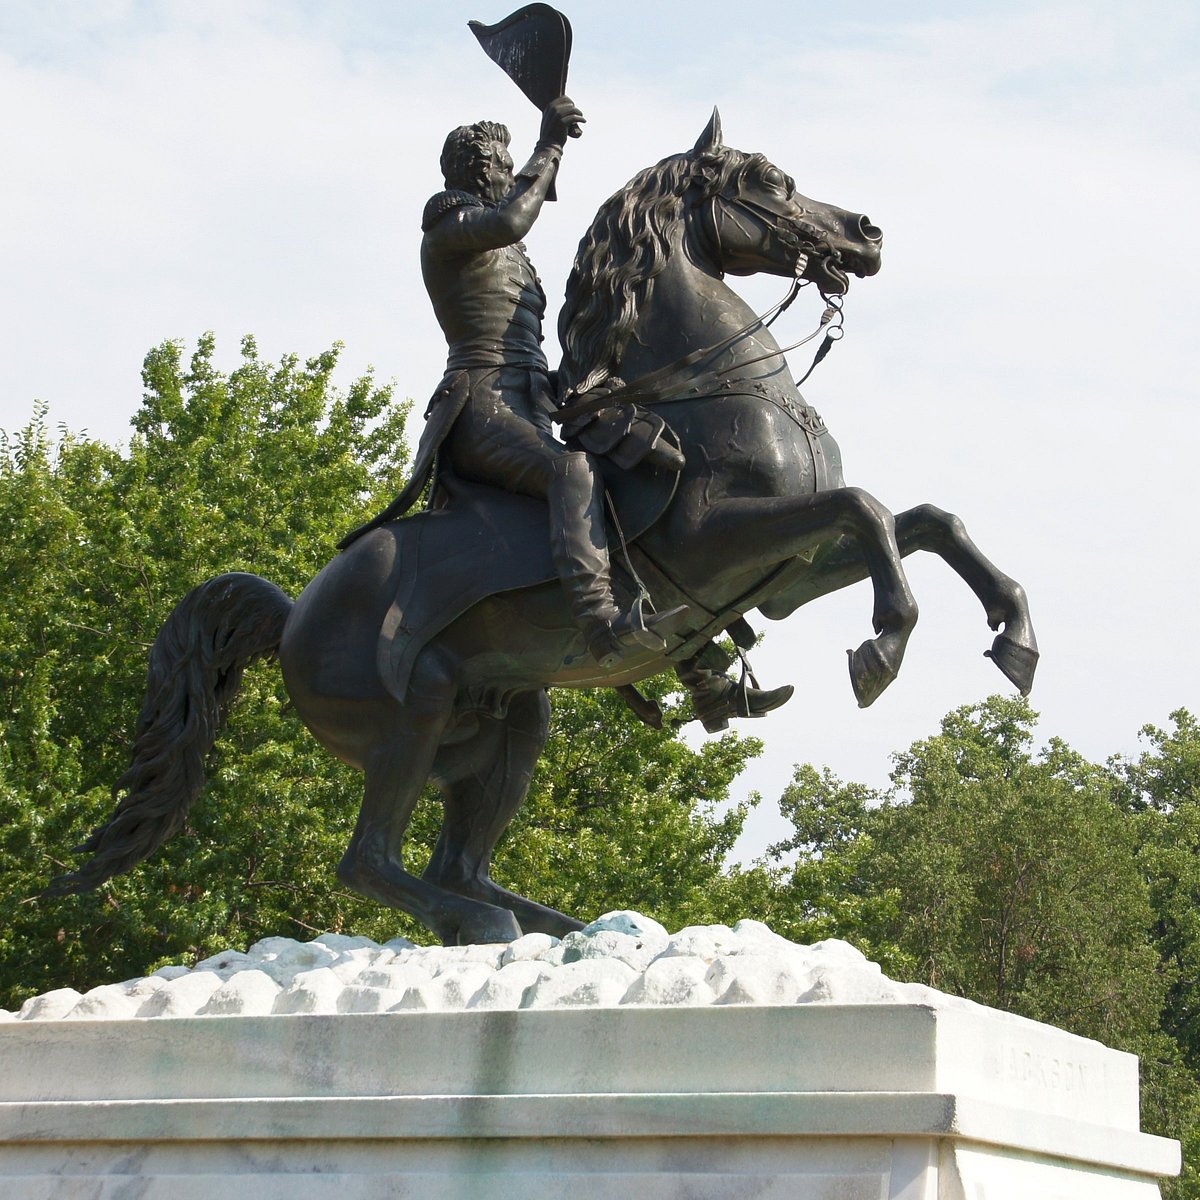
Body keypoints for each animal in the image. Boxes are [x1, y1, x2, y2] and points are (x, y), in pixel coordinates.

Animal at [51, 112, 1036, 945]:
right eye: (770, 180)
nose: (867, 233)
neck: (711, 392)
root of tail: (294, 613)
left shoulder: (786, 573)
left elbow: (925, 520)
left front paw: (1013, 637)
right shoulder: (718, 545)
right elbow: (865, 508)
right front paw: (882, 648)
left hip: (511, 723)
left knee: (461, 860)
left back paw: (574, 931)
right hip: (414, 713)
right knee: (370, 861)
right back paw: (489, 926)